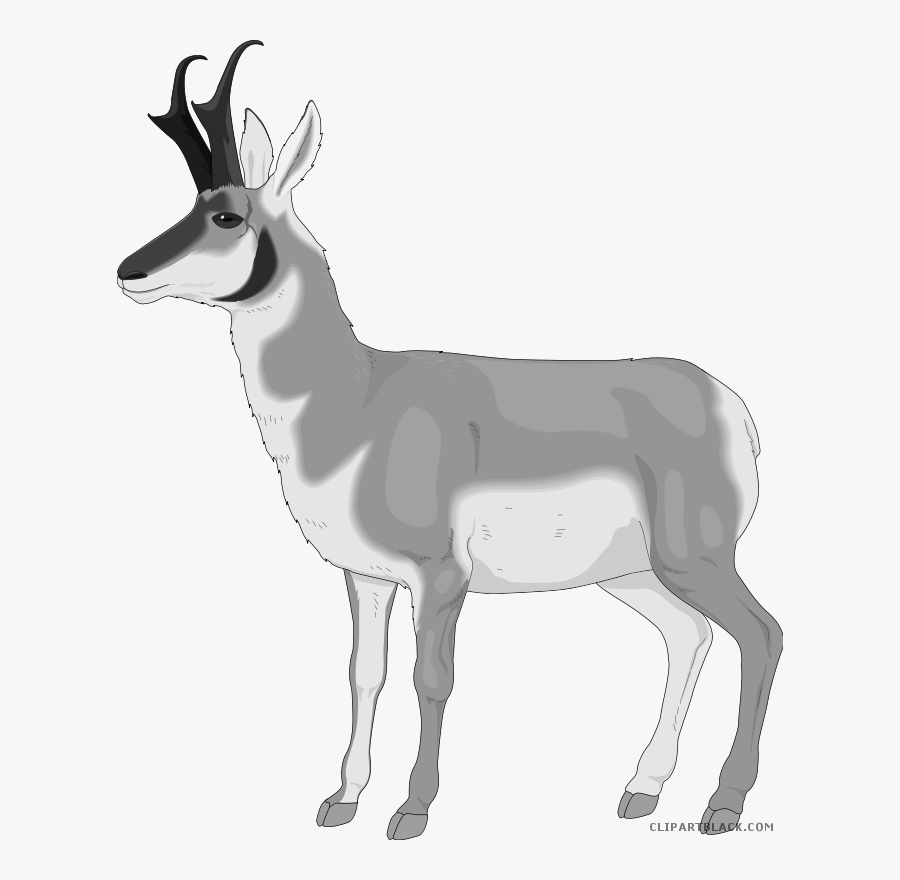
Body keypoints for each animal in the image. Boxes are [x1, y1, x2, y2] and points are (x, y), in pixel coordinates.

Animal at [118, 41, 782, 839]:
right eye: (190, 206)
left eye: (226, 214)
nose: (128, 271)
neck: (359, 397)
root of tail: (723, 400)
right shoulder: (367, 577)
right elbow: (363, 674)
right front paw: (341, 802)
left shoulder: (440, 577)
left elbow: (430, 679)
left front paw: (410, 811)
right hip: (633, 575)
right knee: (690, 637)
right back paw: (641, 790)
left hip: (693, 560)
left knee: (762, 635)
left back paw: (723, 805)